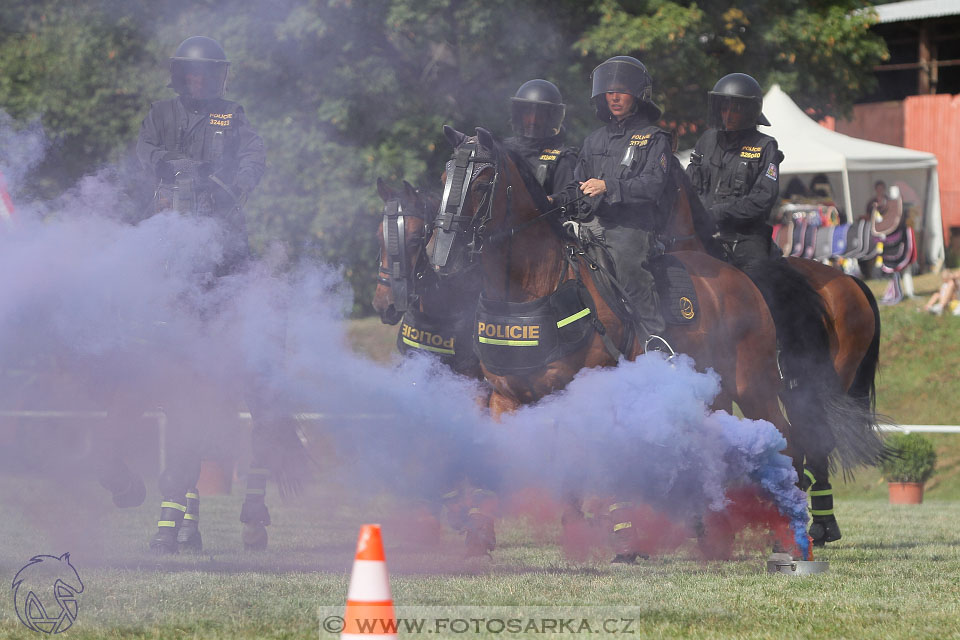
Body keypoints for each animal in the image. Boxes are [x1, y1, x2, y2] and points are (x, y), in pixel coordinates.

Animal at [430, 127, 804, 556]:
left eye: (482, 181)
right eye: (443, 178)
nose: (441, 259)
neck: (535, 285)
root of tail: (740, 277)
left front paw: (622, 537)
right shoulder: (504, 396)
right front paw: (481, 534)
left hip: (754, 385)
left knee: (785, 440)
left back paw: (789, 536)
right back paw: (715, 536)